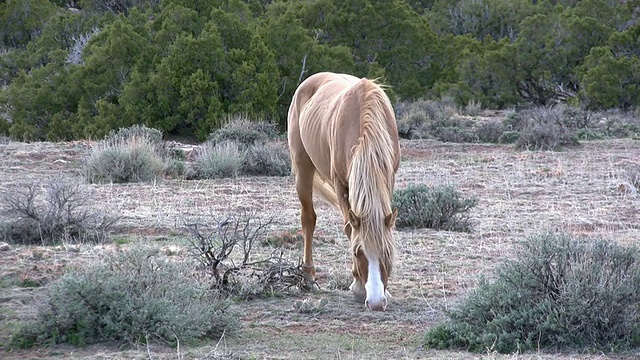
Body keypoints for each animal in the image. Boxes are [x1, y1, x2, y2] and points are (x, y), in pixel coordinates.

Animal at [286, 71, 398, 310]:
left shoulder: (389, 176)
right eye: (357, 253)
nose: (376, 302)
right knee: (308, 218)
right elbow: (349, 228)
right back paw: (308, 275)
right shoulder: (340, 183)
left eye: (387, 252)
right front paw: (357, 287)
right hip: (303, 167)